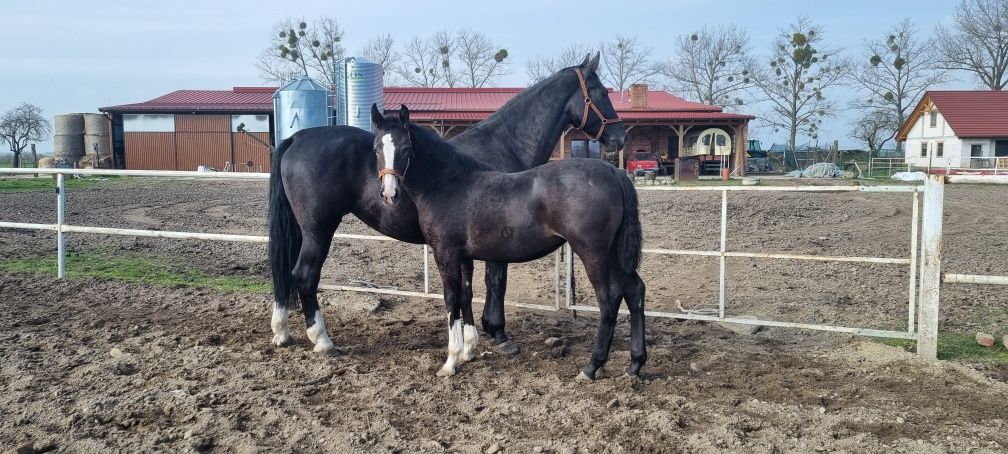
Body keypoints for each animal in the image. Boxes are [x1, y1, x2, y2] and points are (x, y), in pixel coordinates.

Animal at [272, 54, 624, 355]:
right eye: (602, 92)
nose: (620, 136)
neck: (505, 145)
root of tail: (297, 138)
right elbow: (496, 283)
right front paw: (498, 333)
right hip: (318, 229)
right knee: (304, 275)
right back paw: (323, 341)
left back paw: (282, 332)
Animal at [370, 103, 645, 379]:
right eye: (375, 148)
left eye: (405, 148)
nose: (389, 193)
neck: (448, 184)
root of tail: (613, 172)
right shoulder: (464, 257)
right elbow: (465, 295)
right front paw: (468, 351)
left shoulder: (446, 255)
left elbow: (451, 299)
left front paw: (450, 362)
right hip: (614, 255)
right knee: (634, 291)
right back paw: (635, 364)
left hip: (594, 254)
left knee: (609, 301)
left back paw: (591, 367)